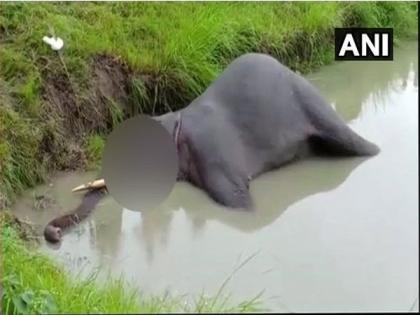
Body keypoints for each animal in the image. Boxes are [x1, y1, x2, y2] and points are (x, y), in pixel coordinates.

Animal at [44, 53, 378, 243]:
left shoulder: (213, 152)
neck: (174, 119)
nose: (53, 234)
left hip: (314, 105)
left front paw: (249, 209)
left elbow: (234, 200)